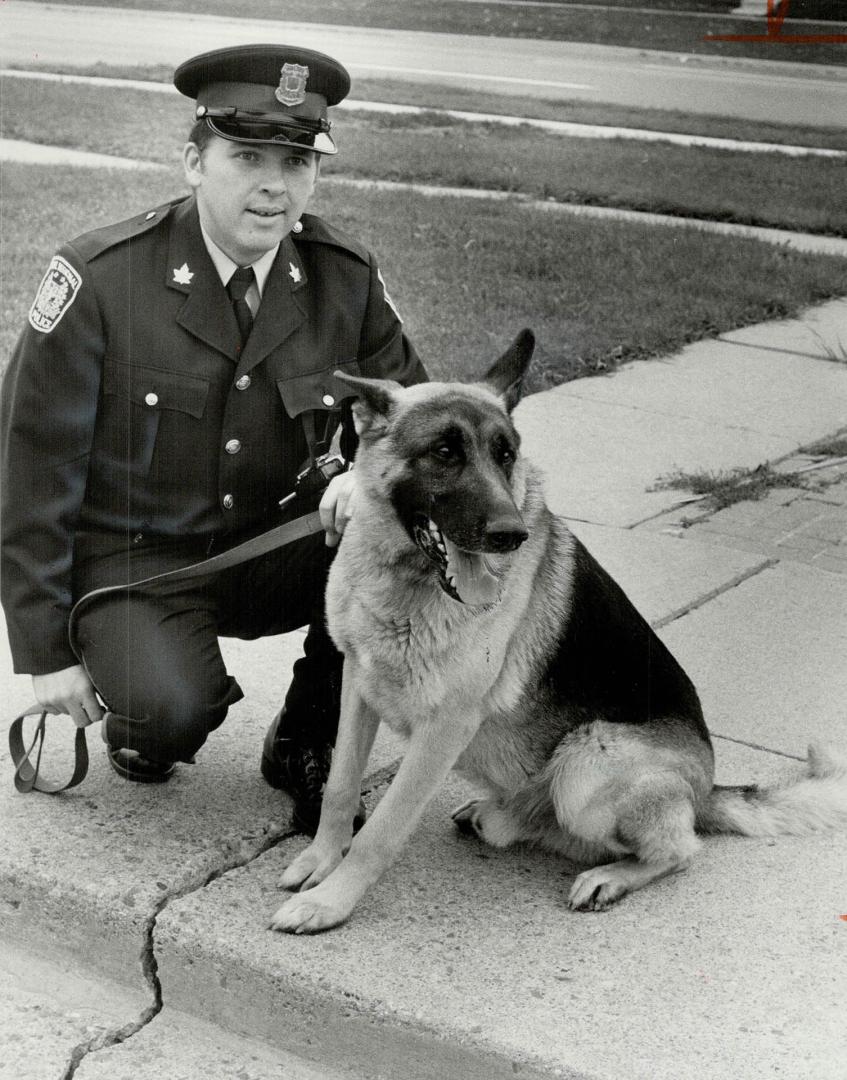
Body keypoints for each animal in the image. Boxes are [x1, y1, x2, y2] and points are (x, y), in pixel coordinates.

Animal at [270, 332, 847, 933]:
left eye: (505, 455)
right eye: (445, 453)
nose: (511, 534)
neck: (406, 580)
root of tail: (704, 789)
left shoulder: (445, 726)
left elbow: (382, 828)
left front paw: (330, 901)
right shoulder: (359, 683)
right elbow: (340, 788)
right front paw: (319, 860)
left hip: (585, 766)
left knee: (682, 849)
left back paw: (610, 876)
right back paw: (497, 817)